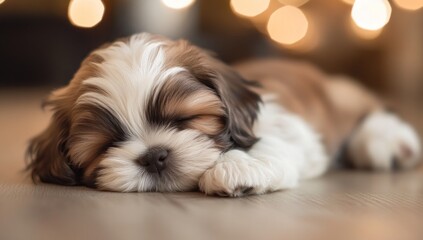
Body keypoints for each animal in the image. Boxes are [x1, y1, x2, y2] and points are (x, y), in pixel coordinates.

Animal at [25, 32, 420, 197]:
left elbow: (267, 139)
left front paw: (238, 167)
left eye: (183, 121)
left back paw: (386, 141)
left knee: (369, 109)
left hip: (342, 96)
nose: (154, 156)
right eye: (106, 145)